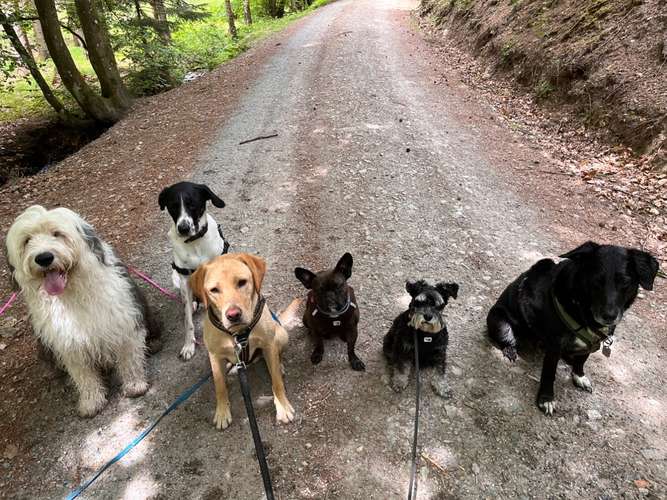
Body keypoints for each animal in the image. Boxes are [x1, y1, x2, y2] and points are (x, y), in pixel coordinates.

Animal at [5, 205, 159, 416]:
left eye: (57, 234)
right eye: (27, 240)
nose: (44, 257)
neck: (71, 294)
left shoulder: (122, 321)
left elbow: (129, 355)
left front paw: (135, 384)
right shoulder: (69, 341)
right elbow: (83, 375)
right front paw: (91, 401)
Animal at [158, 182, 231, 362]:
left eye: (193, 204)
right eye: (173, 206)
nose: (183, 228)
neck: (195, 243)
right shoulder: (184, 279)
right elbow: (188, 322)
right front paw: (188, 346)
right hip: (176, 278)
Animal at [192, 254, 298, 430]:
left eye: (242, 282)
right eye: (214, 290)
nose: (233, 315)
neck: (238, 333)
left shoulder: (269, 345)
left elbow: (276, 382)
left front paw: (282, 407)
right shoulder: (214, 355)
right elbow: (219, 386)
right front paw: (222, 412)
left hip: (281, 335)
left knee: (277, 357)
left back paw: (279, 364)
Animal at [488, 241, 660, 414]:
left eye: (625, 282)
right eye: (596, 280)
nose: (609, 316)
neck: (581, 309)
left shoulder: (591, 343)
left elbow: (582, 360)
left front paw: (579, 376)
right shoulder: (554, 345)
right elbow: (549, 373)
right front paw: (546, 398)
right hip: (500, 323)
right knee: (509, 340)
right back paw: (510, 350)